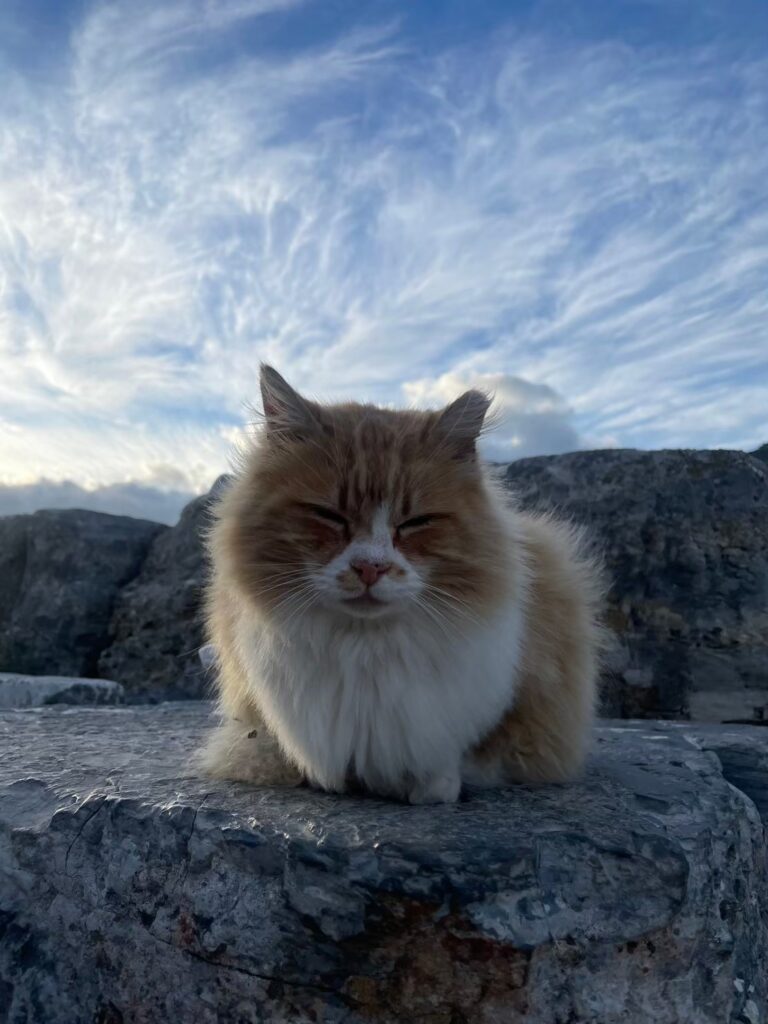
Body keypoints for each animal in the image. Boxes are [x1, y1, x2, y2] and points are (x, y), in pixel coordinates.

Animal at [199, 365, 604, 803]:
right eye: (329, 516)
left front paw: (429, 786)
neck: (364, 649)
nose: (370, 567)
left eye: (415, 522)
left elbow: (469, 757)